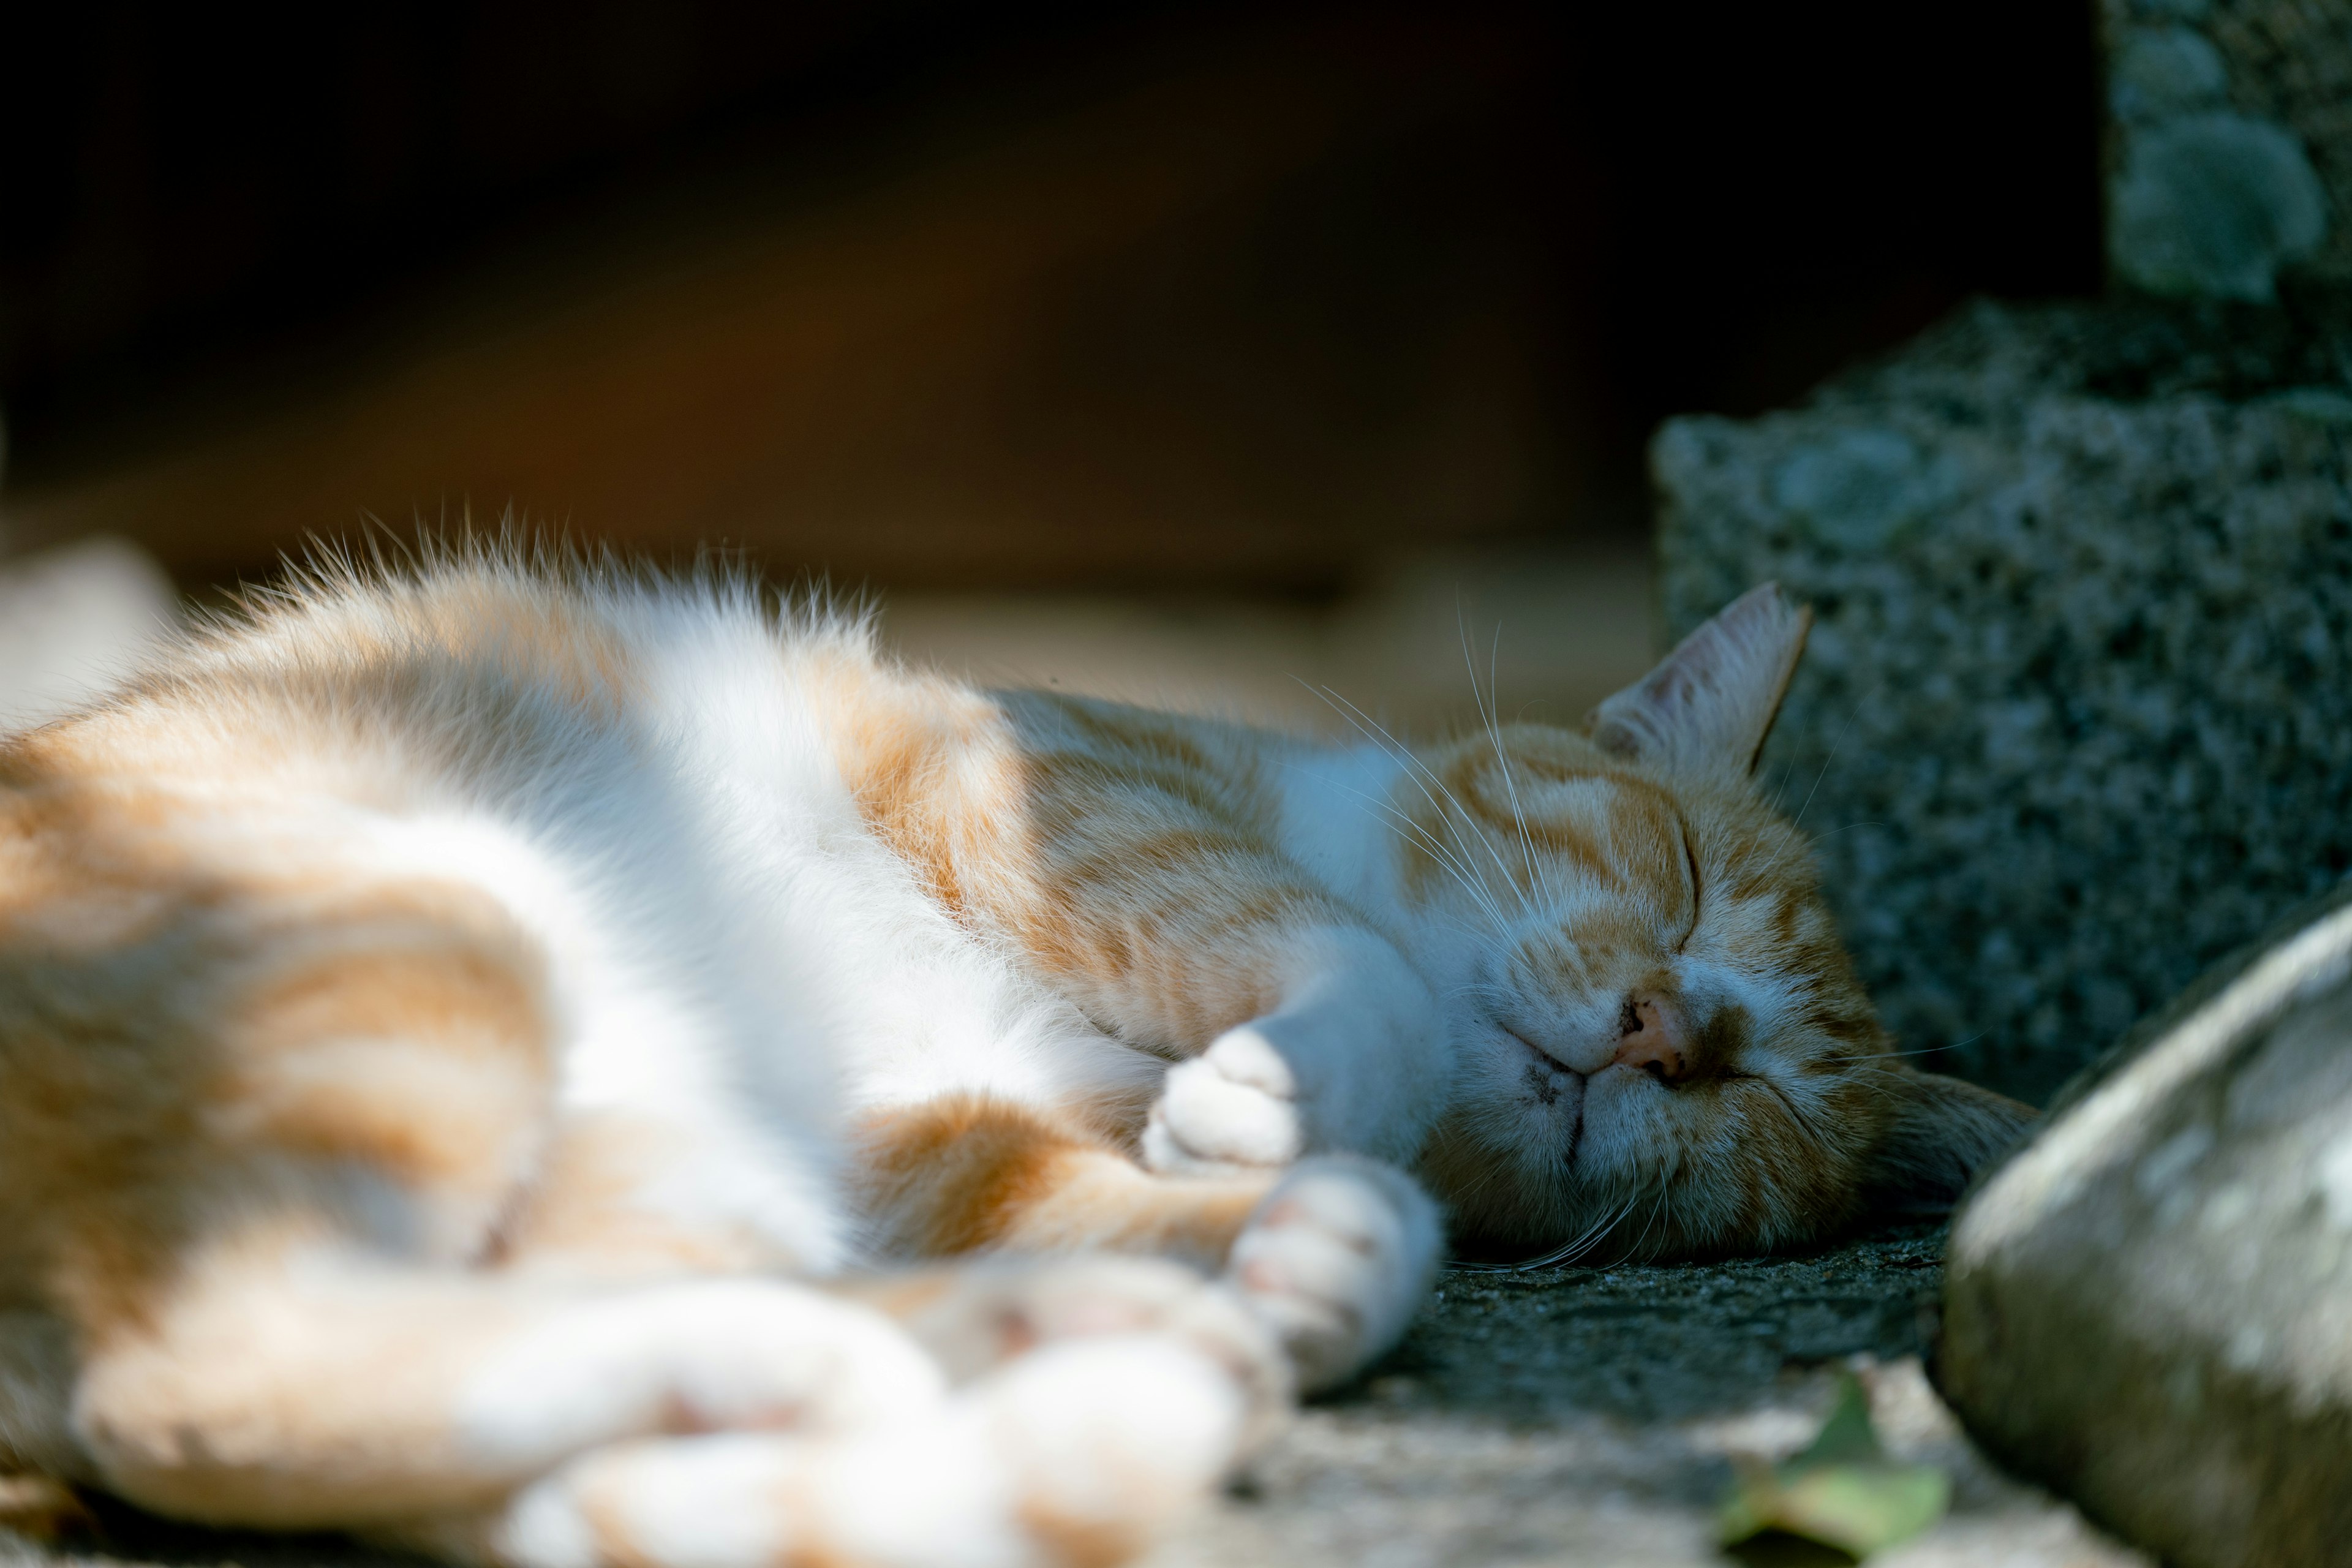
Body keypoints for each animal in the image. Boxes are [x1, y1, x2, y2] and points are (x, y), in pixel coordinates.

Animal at [0, 557, 2032, 1568]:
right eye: (1679, 875)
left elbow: (1152, 1185)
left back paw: (1035, 1353)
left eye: (1755, 1096)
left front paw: (1295, 1234)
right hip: (441, 930)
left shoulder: (925, 1129)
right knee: (214, 1376)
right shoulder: (1062, 794)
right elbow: (1364, 974)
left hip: (676, 1149)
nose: (1666, 1030)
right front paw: (1278, 1119)